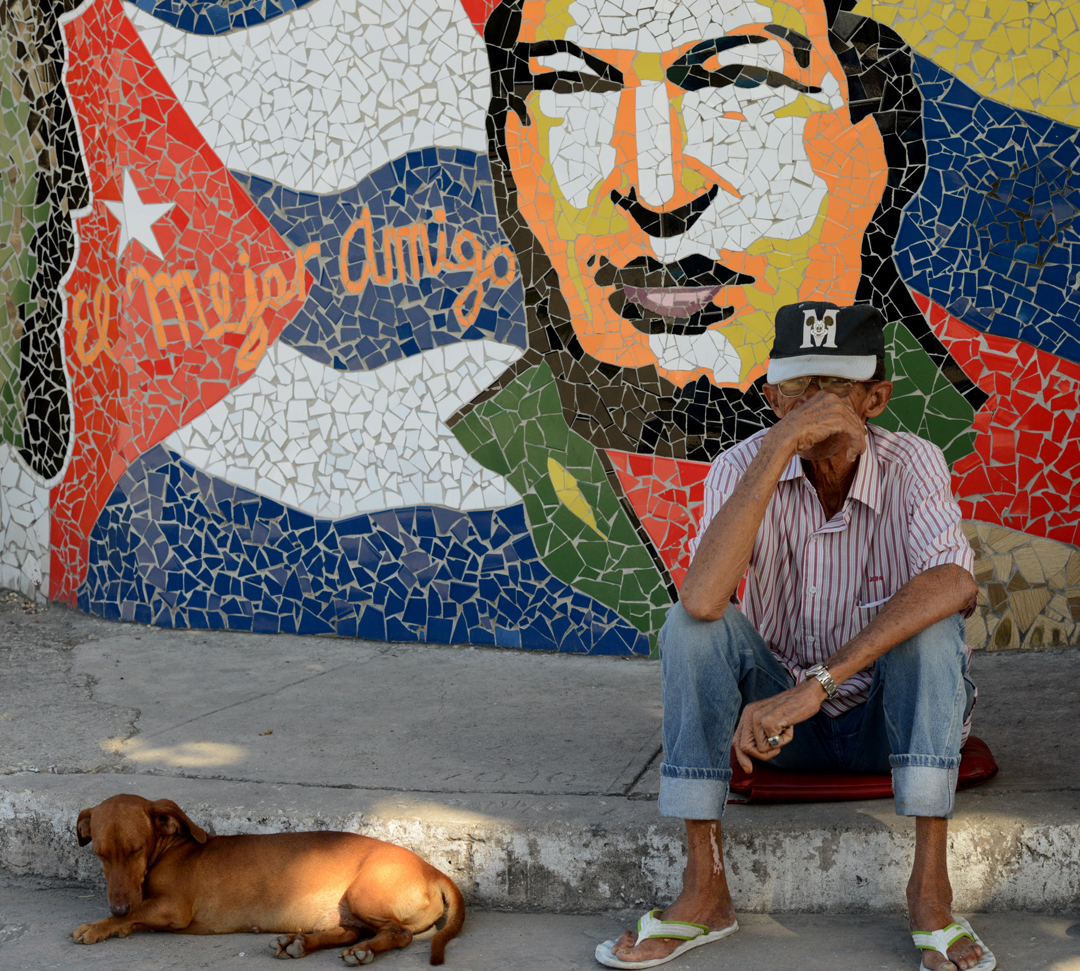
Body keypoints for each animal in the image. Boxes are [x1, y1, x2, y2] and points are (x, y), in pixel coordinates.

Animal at [69, 799, 466, 963]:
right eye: (101, 854)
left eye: (135, 850)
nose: (119, 905)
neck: (171, 849)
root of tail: (434, 871)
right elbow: (135, 915)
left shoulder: (172, 909)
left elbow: (134, 917)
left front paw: (99, 925)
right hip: (345, 911)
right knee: (350, 932)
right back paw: (299, 943)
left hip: (362, 896)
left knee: (397, 933)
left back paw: (362, 952)